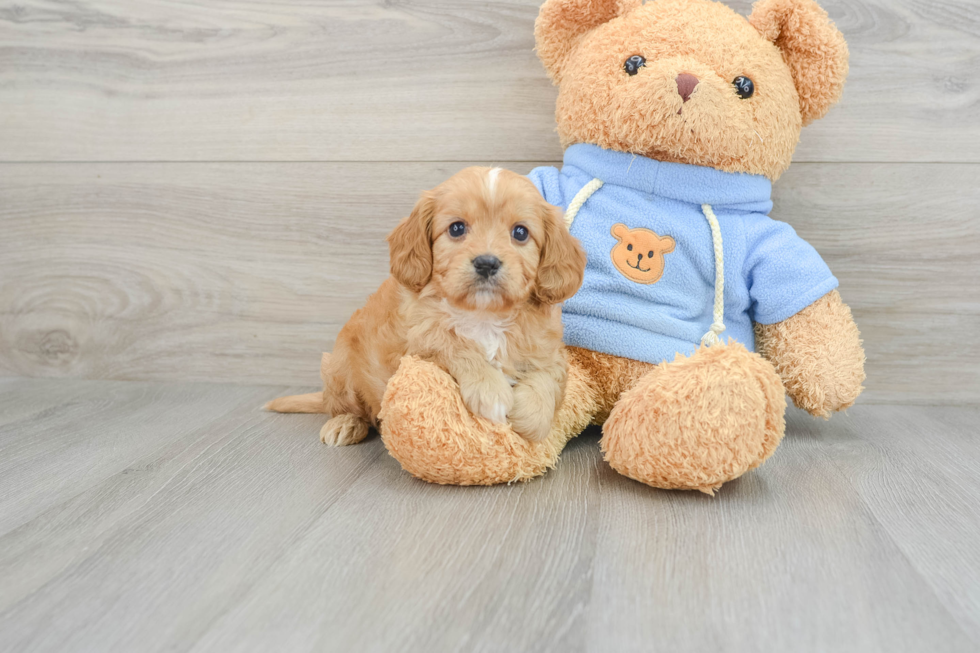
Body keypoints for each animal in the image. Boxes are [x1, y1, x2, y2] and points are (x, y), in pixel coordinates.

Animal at [264, 166, 584, 446]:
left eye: (520, 233)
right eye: (457, 228)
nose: (486, 262)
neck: (483, 316)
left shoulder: (548, 348)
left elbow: (550, 376)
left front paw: (534, 415)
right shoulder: (414, 343)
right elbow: (452, 343)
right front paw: (489, 389)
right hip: (339, 367)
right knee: (349, 408)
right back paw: (345, 423)